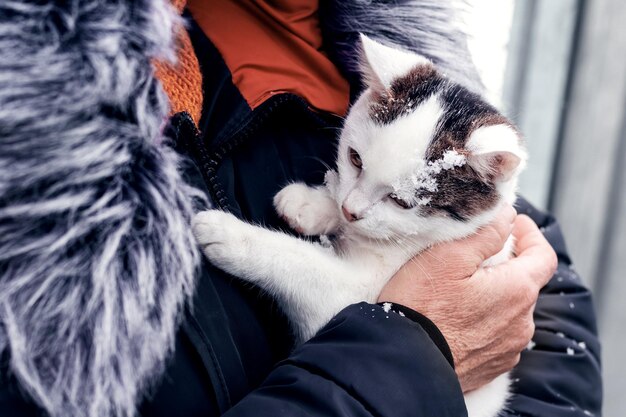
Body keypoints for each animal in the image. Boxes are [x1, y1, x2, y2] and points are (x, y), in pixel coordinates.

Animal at [193, 35, 524, 416]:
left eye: (401, 202)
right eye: (354, 159)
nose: (351, 210)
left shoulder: (349, 298)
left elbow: (302, 263)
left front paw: (229, 235)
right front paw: (311, 204)